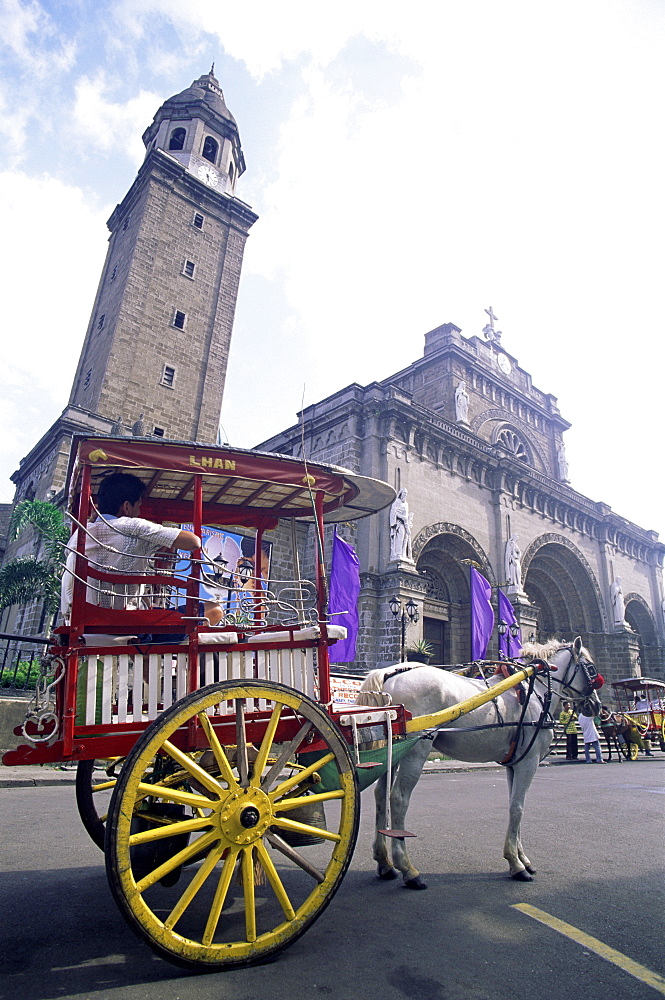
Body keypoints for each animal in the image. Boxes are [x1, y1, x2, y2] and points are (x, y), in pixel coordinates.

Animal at [358, 636, 600, 888]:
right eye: (591, 669)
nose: (595, 706)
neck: (536, 689)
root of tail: (387, 673)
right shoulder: (529, 761)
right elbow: (518, 807)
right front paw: (516, 864)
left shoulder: (515, 762)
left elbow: (515, 806)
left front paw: (522, 858)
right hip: (417, 747)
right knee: (398, 798)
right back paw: (408, 869)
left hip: (393, 747)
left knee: (380, 795)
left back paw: (385, 863)